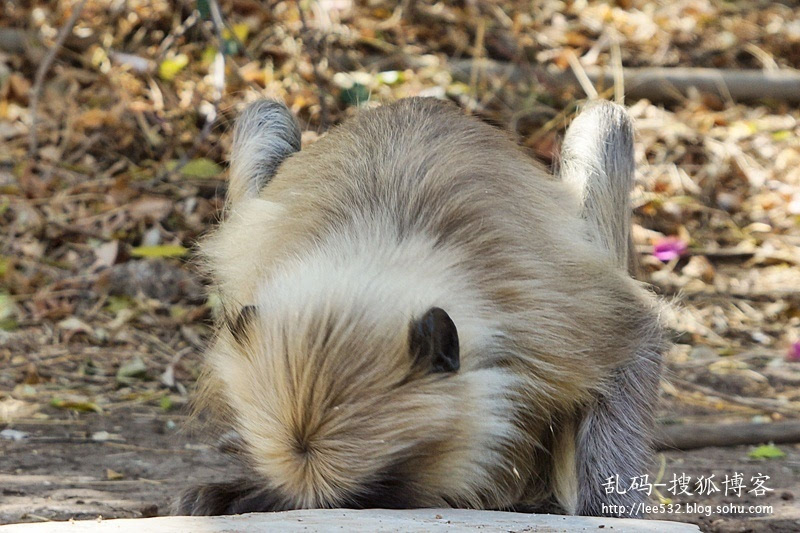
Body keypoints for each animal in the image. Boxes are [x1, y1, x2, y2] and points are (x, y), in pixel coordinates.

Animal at [177, 97, 668, 516]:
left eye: (370, 497)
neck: (371, 257)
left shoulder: (548, 319)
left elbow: (638, 335)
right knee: (266, 112)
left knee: (606, 122)